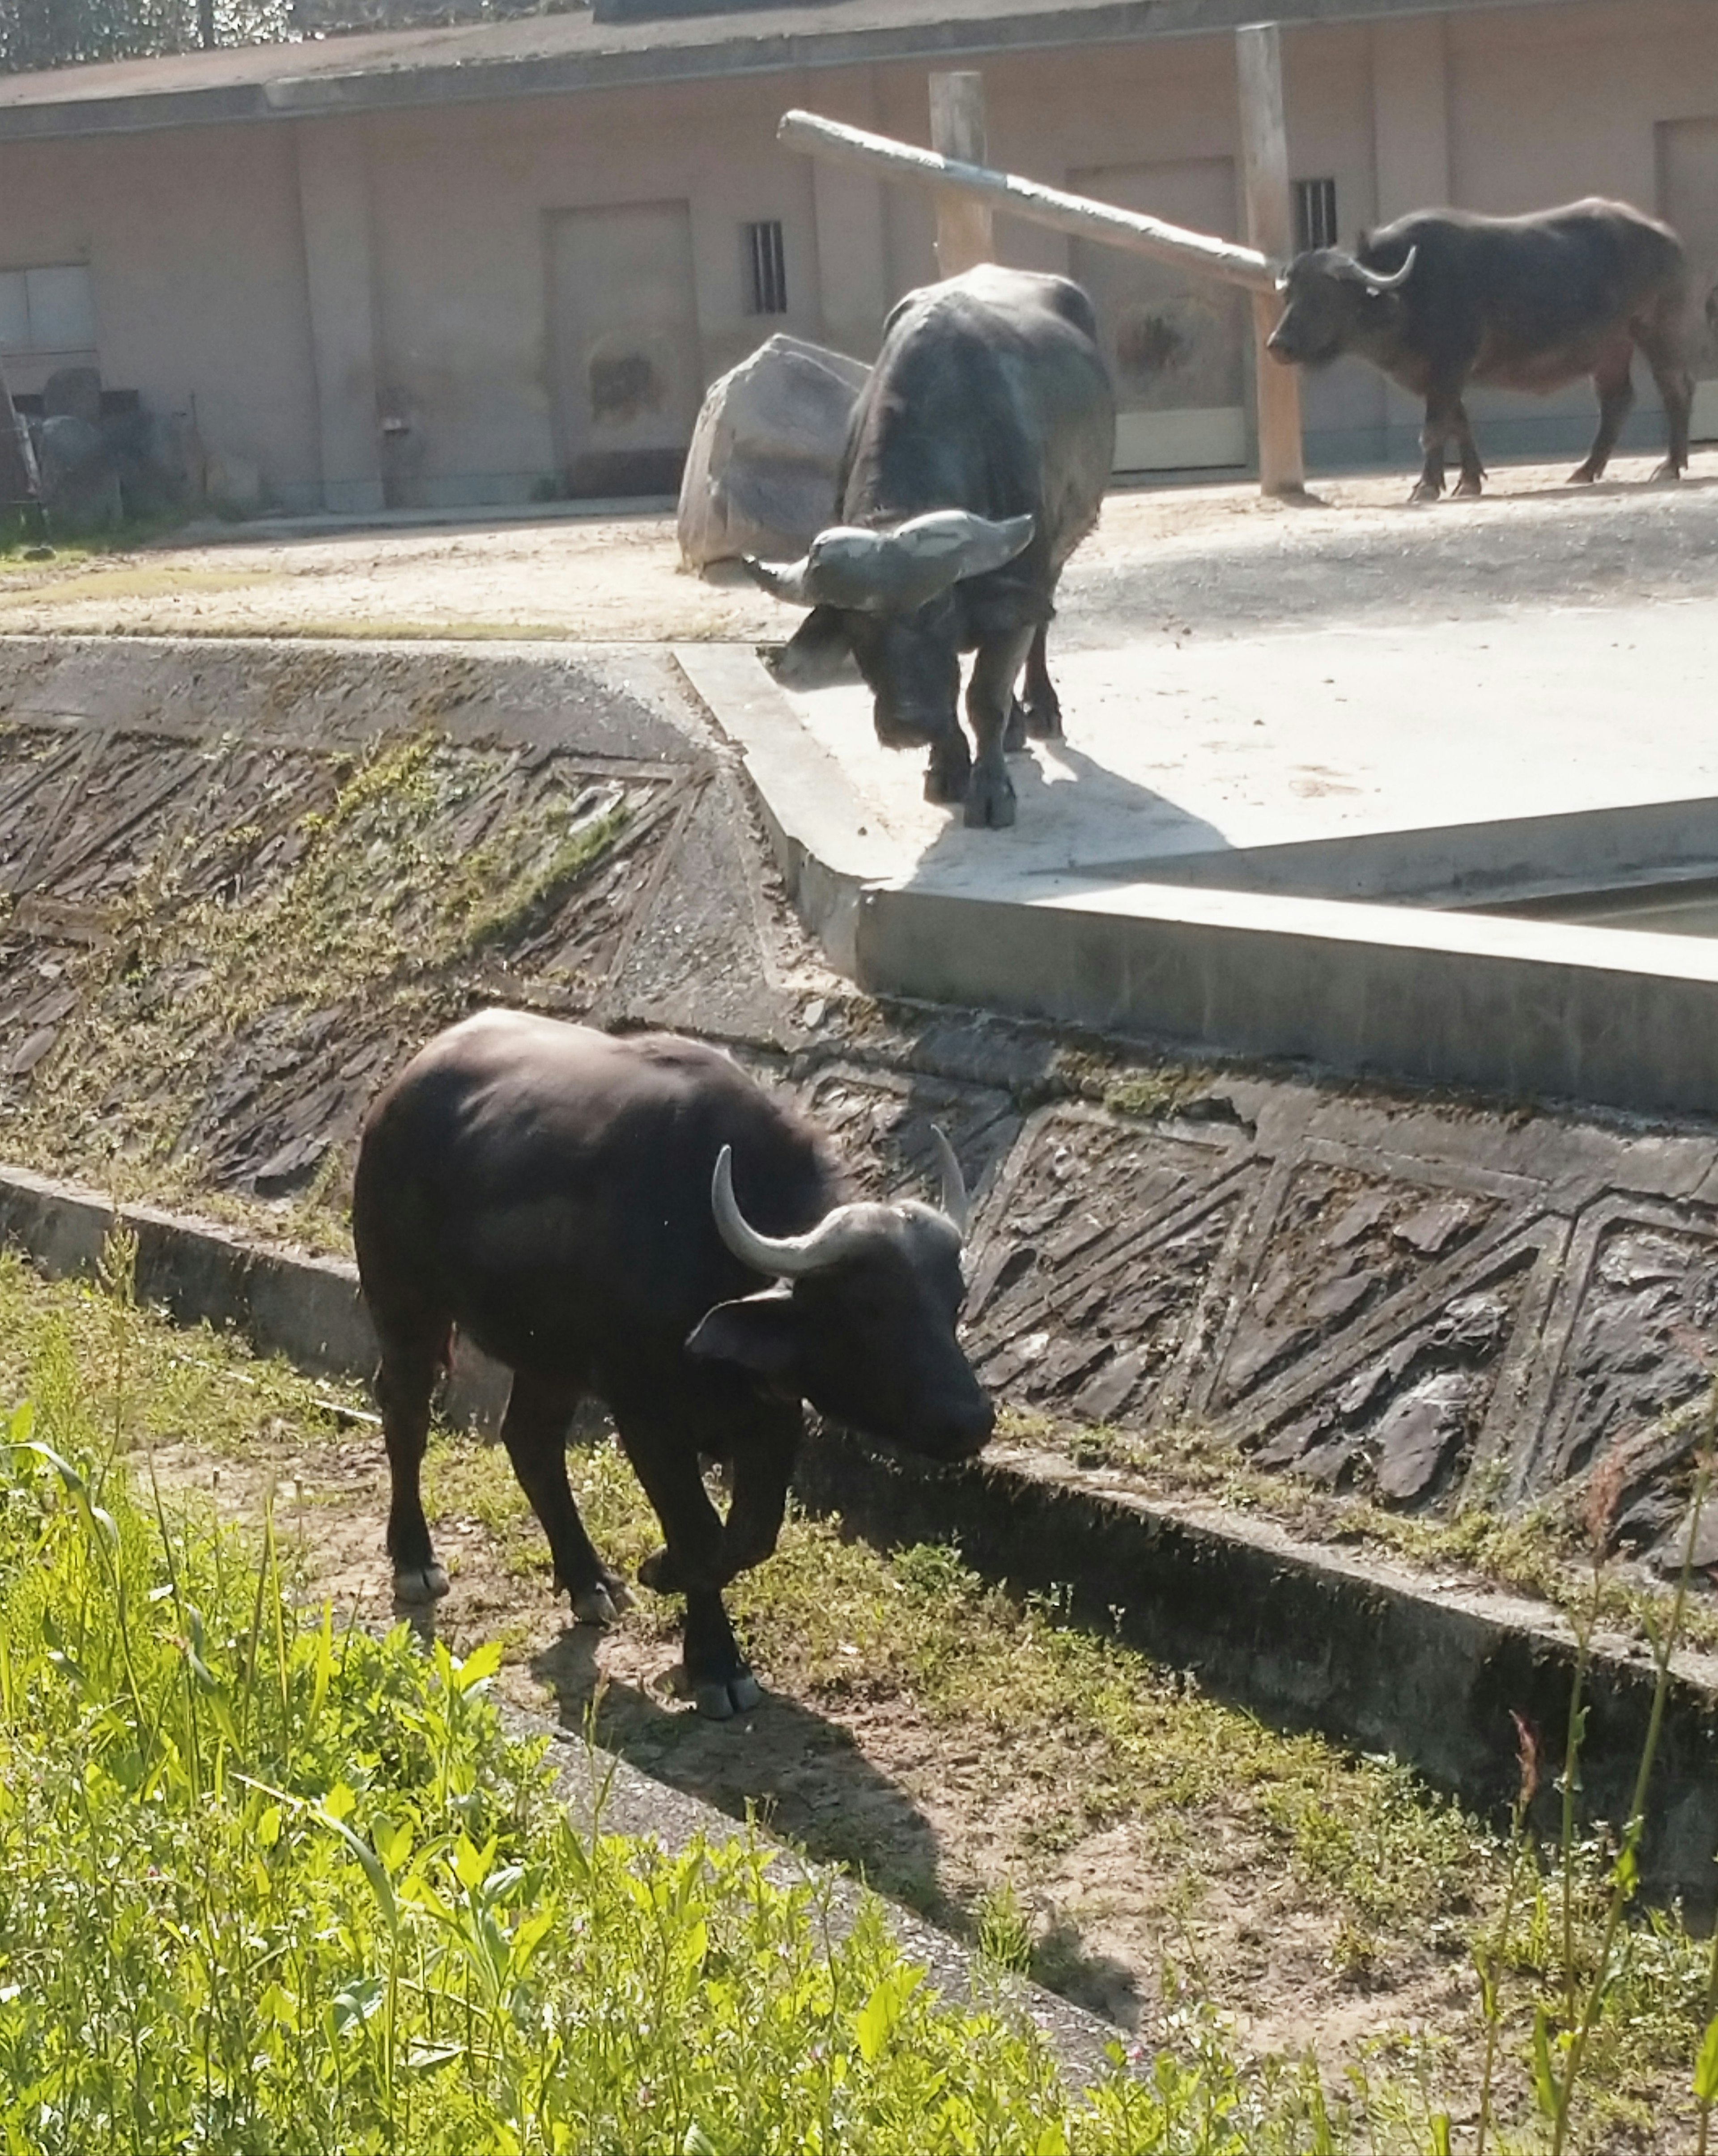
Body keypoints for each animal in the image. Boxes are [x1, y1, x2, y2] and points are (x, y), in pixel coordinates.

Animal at [351, 1009, 991, 1716]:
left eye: (954, 1300)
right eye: (871, 1308)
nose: (973, 1420)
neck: (708, 1262)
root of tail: (398, 1094)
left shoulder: (773, 1416)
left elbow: (749, 1536)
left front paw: (665, 1580)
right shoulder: (647, 1418)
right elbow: (697, 1530)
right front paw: (711, 1657)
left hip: (551, 1358)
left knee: (530, 1442)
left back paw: (588, 1580)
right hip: (403, 1303)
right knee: (406, 1414)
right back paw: (415, 1561)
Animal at [746, 267, 1121, 832]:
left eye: (939, 609)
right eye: (857, 625)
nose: (907, 722)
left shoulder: (1021, 582)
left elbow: (984, 696)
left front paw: (991, 792)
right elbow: (959, 697)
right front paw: (947, 769)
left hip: (1057, 555)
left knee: (1039, 632)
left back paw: (1041, 710)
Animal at [1259, 199, 1690, 504]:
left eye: (1323, 297)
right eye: (1291, 294)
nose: (1278, 345)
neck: (1409, 294)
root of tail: (1667, 236)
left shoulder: (1451, 365)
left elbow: (1434, 429)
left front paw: (1426, 486)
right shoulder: (1437, 376)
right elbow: (1458, 422)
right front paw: (1468, 481)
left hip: (1657, 329)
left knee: (1675, 389)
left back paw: (1671, 465)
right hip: (1610, 349)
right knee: (1617, 401)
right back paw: (1586, 470)